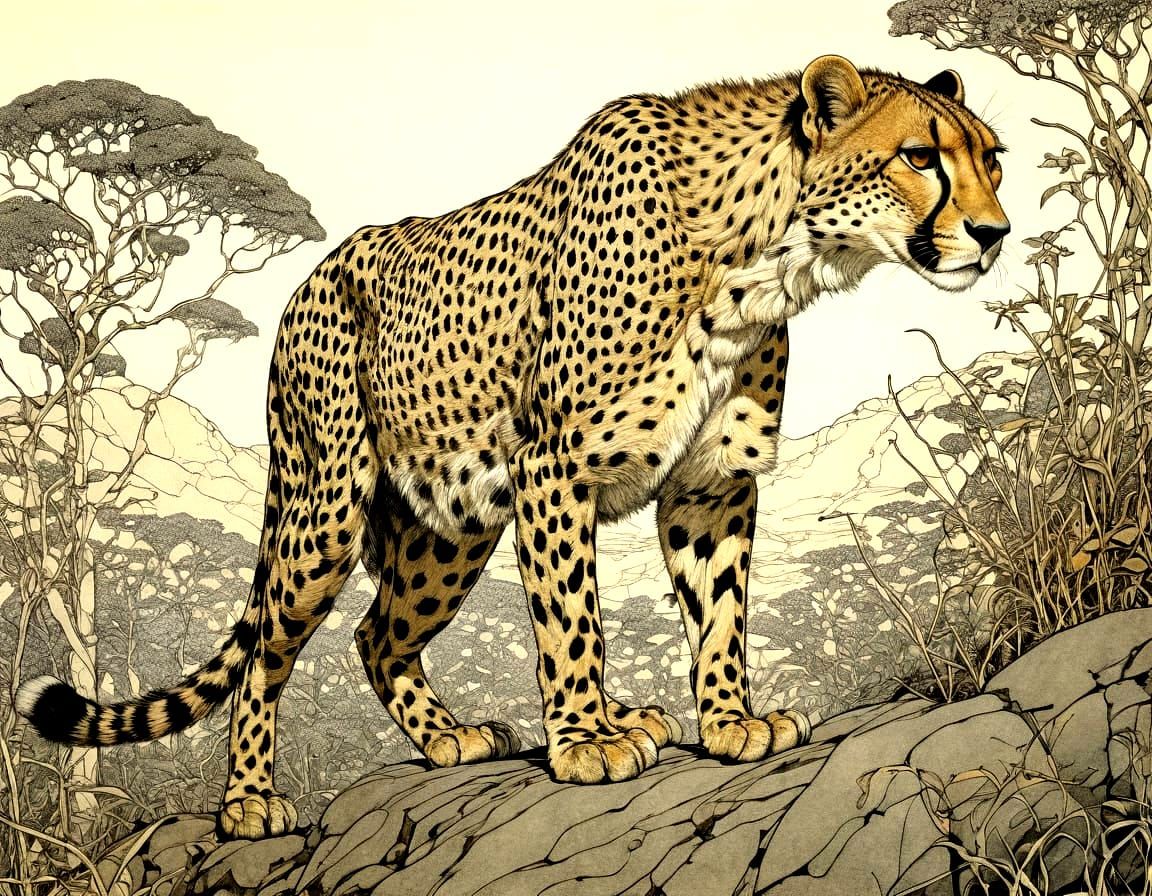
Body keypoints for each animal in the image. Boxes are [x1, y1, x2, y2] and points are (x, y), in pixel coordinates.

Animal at [18, 55, 1009, 839]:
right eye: (920, 156)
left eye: (991, 159)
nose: (995, 234)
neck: (761, 254)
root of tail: (311, 277)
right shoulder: (554, 467)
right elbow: (573, 620)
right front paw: (586, 741)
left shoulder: (712, 485)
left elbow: (721, 614)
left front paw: (730, 721)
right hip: (329, 508)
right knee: (270, 645)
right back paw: (250, 801)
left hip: (449, 530)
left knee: (377, 634)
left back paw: (456, 737)